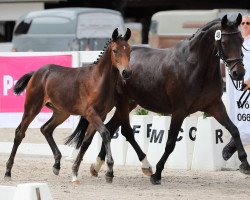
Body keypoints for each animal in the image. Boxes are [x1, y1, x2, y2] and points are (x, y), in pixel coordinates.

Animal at [3, 28, 132, 184]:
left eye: (129, 50)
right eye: (115, 50)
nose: (126, 72)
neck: (98, 81)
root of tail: (36, 73)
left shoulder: (101, 115)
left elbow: (86, 141)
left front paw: (75, 171)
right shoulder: (90, 113)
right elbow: (105, 134)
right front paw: (110, 171)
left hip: (61, 113)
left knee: (46, 129)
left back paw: (56, 165)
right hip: (32, 108)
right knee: (20, 133)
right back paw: (8, 171)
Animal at [68, 13, 250, 184]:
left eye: (241, 39)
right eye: (224, 42)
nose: (238, 73)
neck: (196, 66)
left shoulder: (215, 106)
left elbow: (234, 129)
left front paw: (245, 164)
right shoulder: (179, 111)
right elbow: (170, 143)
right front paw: (157, 174)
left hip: (128, 103)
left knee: (110, 128)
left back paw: (97, 166)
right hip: (118, 103)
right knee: (119, 131)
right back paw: (143, 166)